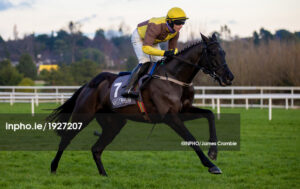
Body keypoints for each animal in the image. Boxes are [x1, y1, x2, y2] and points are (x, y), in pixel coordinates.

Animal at [48, 33, 234, 176]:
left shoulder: (184, 111)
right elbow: (191, 139)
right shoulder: (170, 117)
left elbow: (210, 115)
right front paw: (211, 165)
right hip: (84, 115)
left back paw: (104, 175)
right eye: (212, 52)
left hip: (114, 124)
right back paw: (53, 168)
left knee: (96, 149)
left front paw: (213, 152)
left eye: (224, 52)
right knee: (66, 139)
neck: (174, 77)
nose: (229, 77)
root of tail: (89, 84)